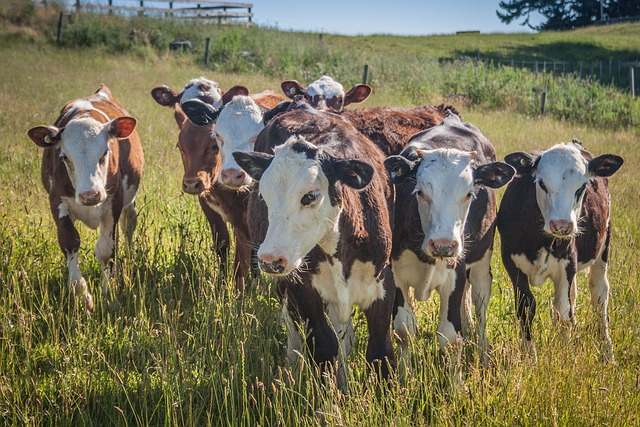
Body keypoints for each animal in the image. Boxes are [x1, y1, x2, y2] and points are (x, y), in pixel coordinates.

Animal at [26, 84, 144, 310]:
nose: (90, 195)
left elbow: (106, 250)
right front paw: (81, 294)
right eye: (65, 157)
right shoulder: (57, 201)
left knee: (128, 224)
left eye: (105, 153)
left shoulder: (113, 201)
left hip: (128, 202)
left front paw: (109, 293)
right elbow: (69, 241)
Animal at [232, 104, 398, 392]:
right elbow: (324, 346)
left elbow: (380, 352)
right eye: (263, 195)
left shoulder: (383, 282)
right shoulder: (302, 287)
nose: (270, 259)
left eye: (310, 196)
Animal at [380, 113, 516, 368]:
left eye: (469, 194)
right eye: (420, 192)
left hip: (481, 260)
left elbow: (450, 338)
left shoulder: (455, 274)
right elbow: (404, 329)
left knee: (480, 302)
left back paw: (483, 354)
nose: (443, 245)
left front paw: (456, 379)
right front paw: (404, 373)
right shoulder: (395, 274)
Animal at [498, 140, 624, 362]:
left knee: (599, 295)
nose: (562, 225)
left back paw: (608, 352)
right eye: (541, 183)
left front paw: (564, 354)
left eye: (582, 186)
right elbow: (526, 307)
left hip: (603, 247)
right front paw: (531, 357)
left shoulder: (567, 265)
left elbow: (563, 311)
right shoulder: (512, 264)